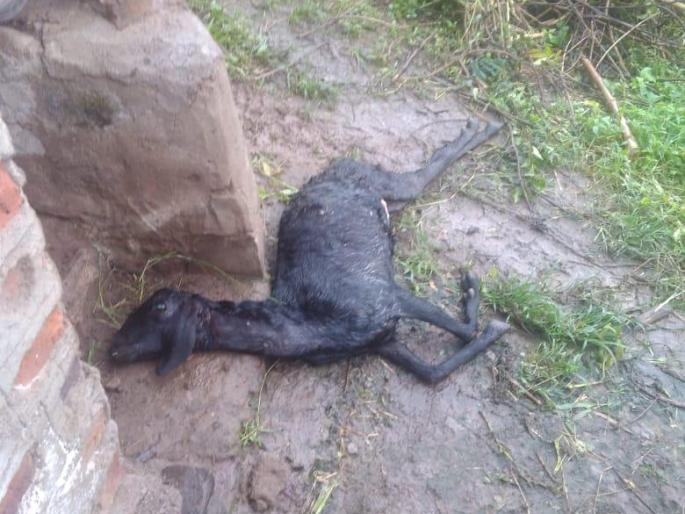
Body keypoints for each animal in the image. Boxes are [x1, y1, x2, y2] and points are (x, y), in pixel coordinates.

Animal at [109, 119, 510, 384]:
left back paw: (483, 128)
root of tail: (332, 170)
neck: (312, 326)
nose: (111, 349)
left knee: (422, 174)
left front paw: (480, 299)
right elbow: (433, 371)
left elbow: (465, 330)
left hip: (382, 181)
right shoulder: (385, 340)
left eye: (160, 306)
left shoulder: (386, 297)